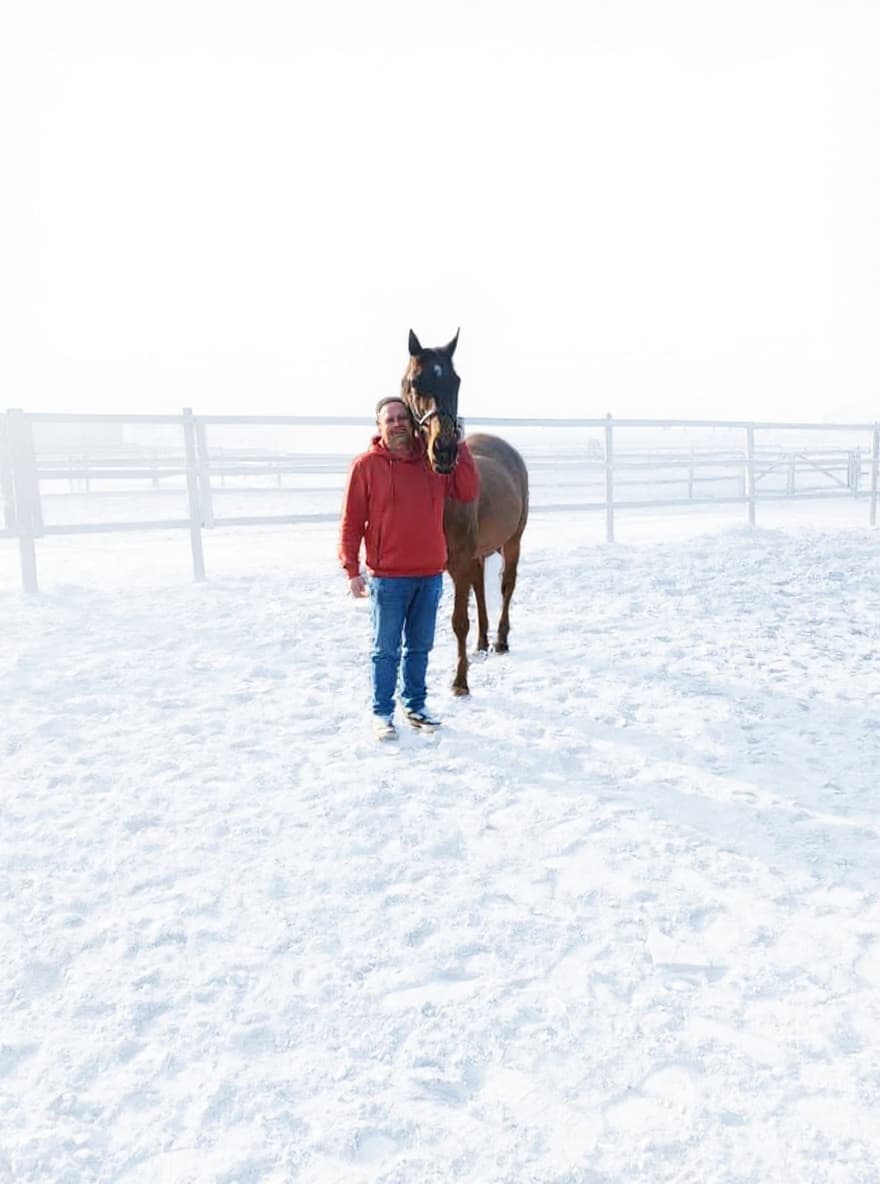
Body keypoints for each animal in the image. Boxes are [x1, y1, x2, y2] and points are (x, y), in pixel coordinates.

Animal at [401, 329, 529, 696]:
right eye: (415, 381)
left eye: (456, 381)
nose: (444, 451)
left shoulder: (458, 561)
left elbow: (459, 621)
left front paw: (460, 682)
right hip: (479, 553)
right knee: (480, 589)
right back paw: (482, 642)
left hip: (513, 541)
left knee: (506, 585)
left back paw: (500, 640)